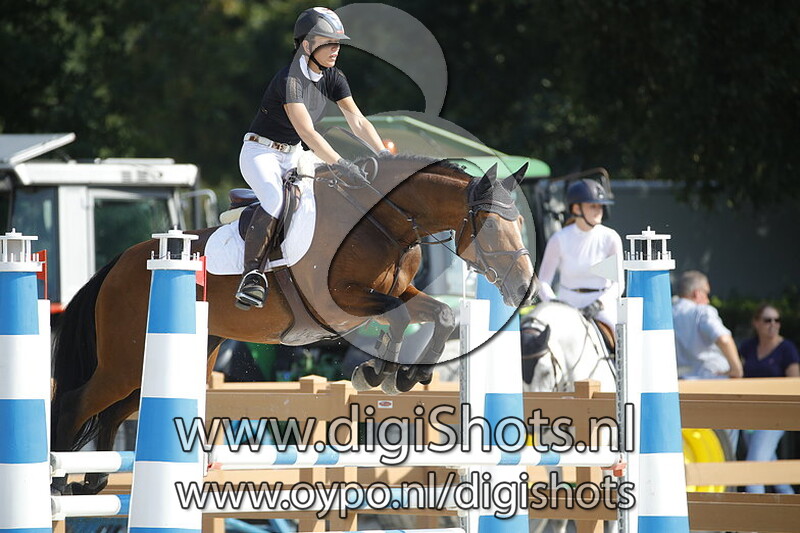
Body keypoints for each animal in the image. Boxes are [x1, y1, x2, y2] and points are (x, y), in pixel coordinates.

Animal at [50, 155, 537, 495]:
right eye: (493, 227)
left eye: (519, 223)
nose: (525, 289)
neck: (384, 221)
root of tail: (120, 264)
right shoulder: (344, 299)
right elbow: (401, 318)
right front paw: (383, 373)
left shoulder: (399, 293)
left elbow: (440, 313)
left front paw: (398, 376)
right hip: (125, 361)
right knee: (76, 402)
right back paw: (56, 477)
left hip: (163, 363)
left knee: (112, 412)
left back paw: (93, 480)